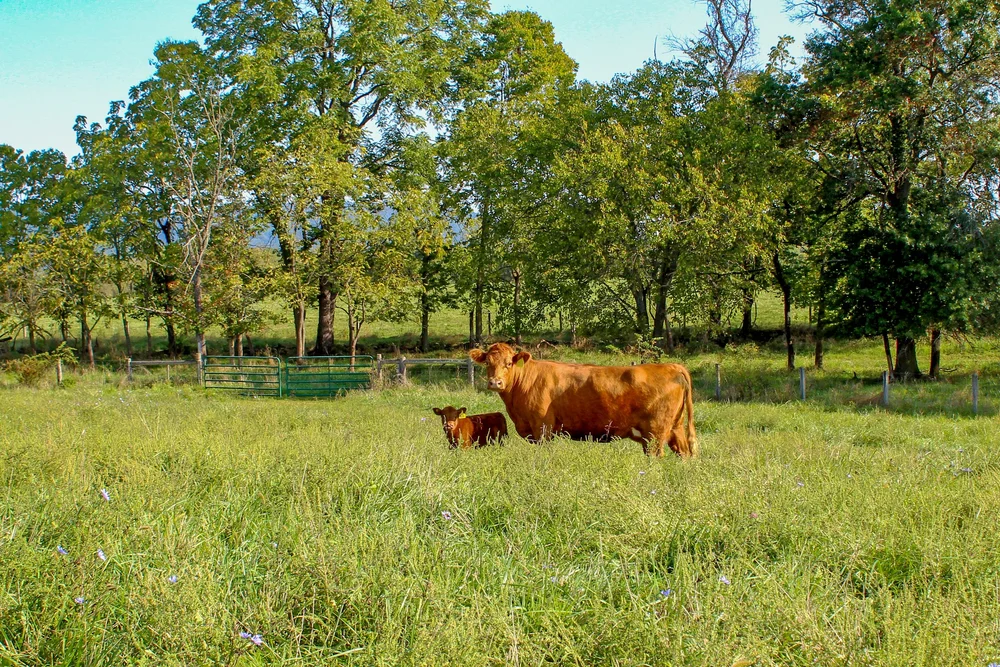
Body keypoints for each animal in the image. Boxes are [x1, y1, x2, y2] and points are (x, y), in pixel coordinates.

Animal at [469, 342, 697, 458]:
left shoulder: (543, 427)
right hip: (675, 427)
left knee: (656, 456)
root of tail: (672, 366)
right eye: (487, 362)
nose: (495, 382)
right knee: (684, 453)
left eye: (509, 363)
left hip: (655, 432)